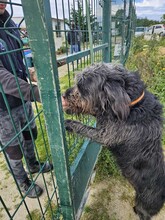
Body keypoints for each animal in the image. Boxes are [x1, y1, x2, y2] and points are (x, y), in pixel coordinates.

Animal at [62, 62, 165, 219]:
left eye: (82, 87)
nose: (64, 95)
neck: (134, 106)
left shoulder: (106, 135)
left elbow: (85, 128)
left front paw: (68, 123)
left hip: (146, 206)